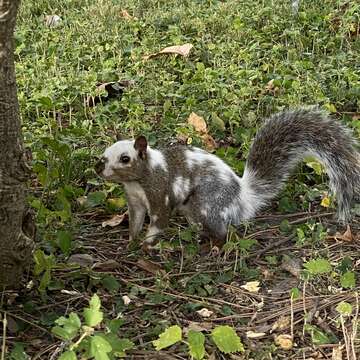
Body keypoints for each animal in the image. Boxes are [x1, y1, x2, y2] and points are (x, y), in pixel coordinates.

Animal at [95, 107, 360, 248]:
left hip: (206, 203)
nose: (98, 169)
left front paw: (147, 243)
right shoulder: (135, 200)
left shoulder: (159, 192)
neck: (137, 181)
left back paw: (215, 245)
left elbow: (159, 220)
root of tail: (242, 195)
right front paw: (131, 241)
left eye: (125, 158)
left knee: (222, 231)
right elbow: (136, 220)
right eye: (104, 155)